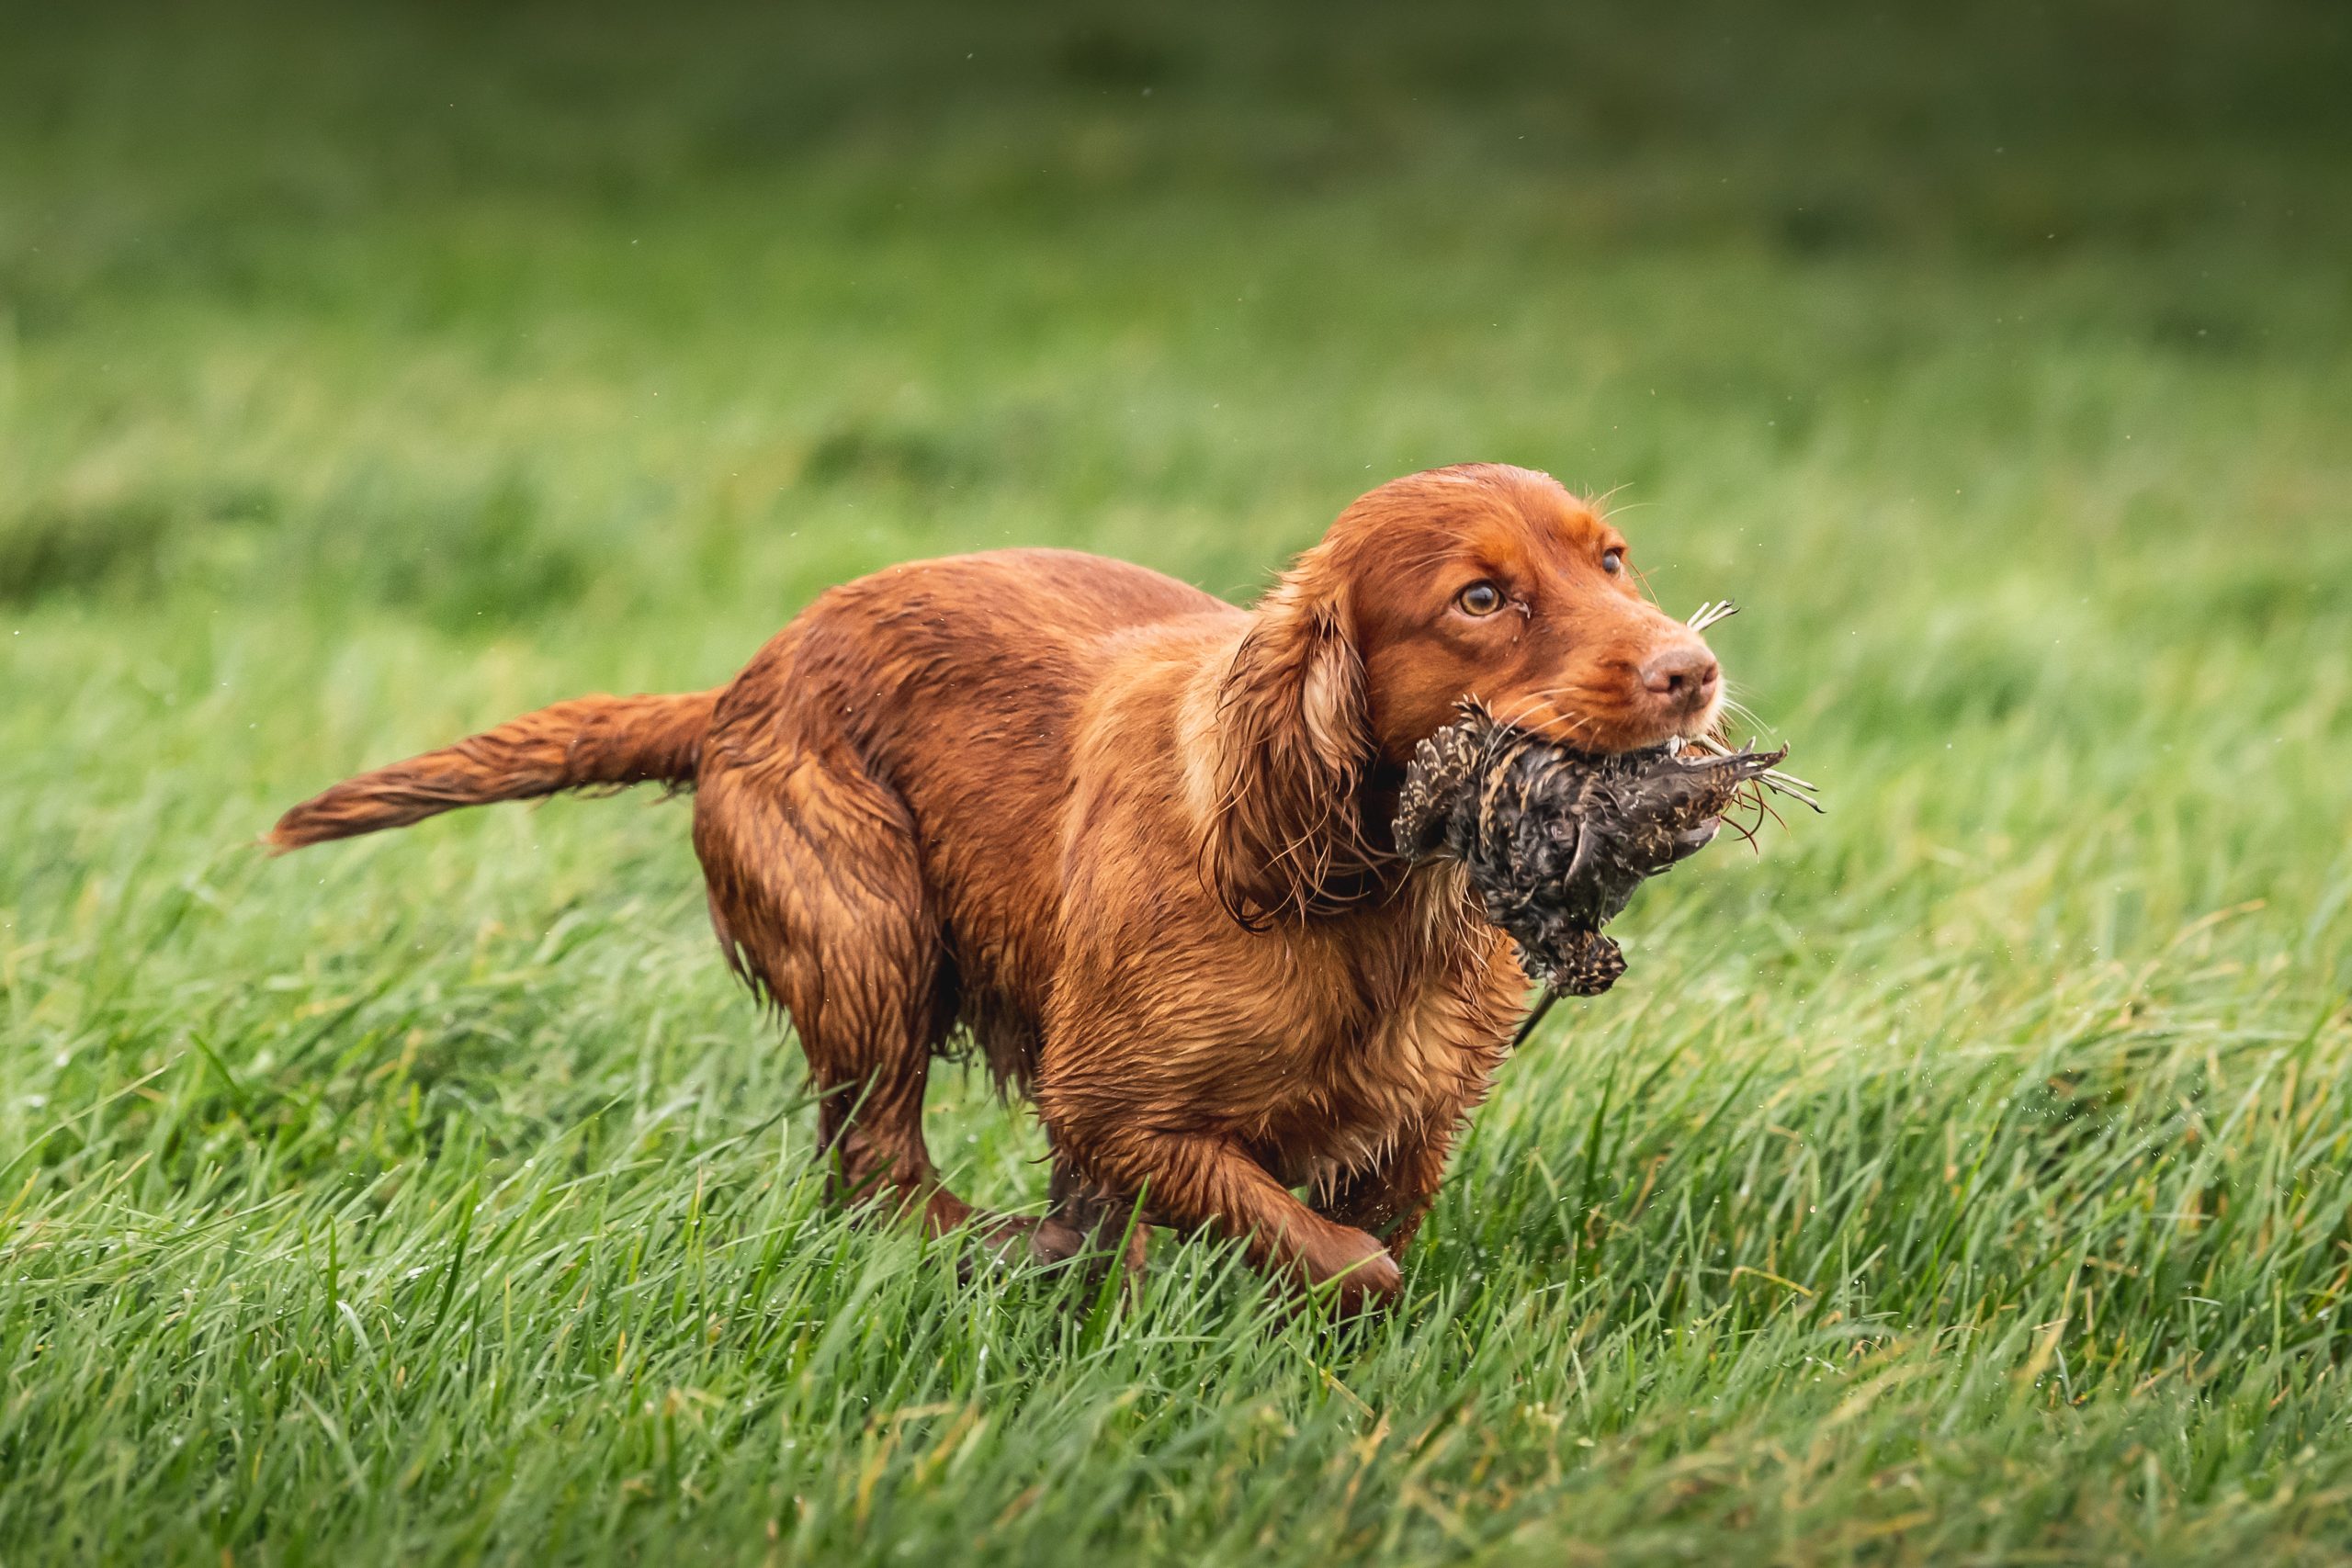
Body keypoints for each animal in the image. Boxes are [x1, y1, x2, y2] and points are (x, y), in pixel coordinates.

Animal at [275, 465, 1721, 1316]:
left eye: (1611, 560)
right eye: (1479, 598)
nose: (1691, 671)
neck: (1363, 897)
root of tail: (743, 683)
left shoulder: (1413, 1119)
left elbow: (1365, 1236)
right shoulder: (1112, 1104)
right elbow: (1341, 1257)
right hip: (869, 934)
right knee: (875, 1166)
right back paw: (991, 1245)